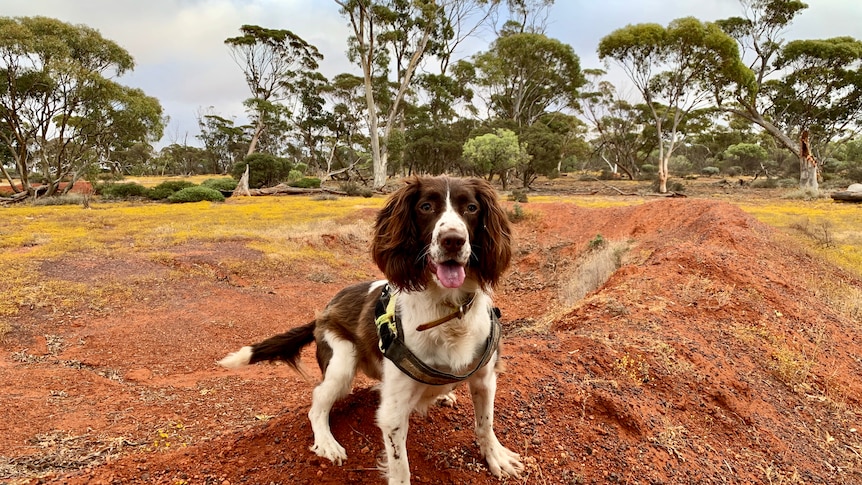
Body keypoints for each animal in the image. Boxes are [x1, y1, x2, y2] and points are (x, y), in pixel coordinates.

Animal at [219, 176, 524, 482]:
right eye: (426, 207)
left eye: (471, 208)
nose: (453, 240)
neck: (448, 311)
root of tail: (324, 311)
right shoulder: (393, 412)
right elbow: (400, 468)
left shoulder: (484, 378)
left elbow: (485, 423)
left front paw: (496, 457)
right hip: (341, 360)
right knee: (318, 403)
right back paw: (327, 442)